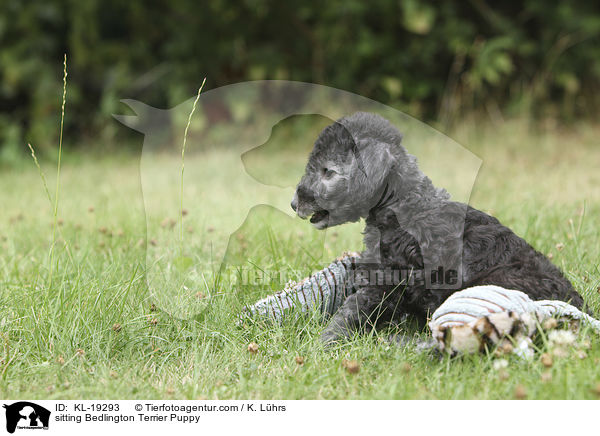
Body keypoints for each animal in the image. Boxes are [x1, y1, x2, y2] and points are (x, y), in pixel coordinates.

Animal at [292, 111, 584, 344]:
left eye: (328, 171)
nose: (294, 203)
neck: (404, 201)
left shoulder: (386, 278)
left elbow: (353, 309)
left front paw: (325, 341)